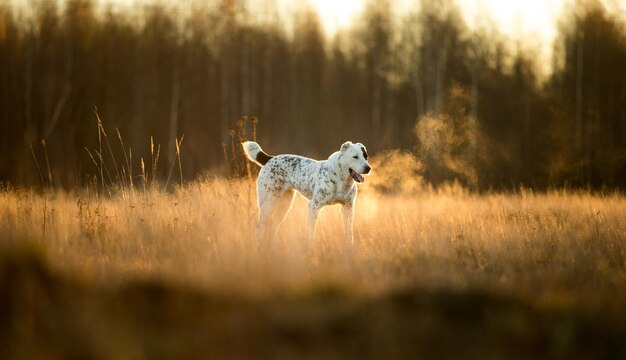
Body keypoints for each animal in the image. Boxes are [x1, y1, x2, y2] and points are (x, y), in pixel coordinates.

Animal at [241, 142, 370, 246]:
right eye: (355, 157)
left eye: (365, 156)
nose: (368, 168)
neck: (342, 181)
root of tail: (270, 158)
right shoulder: (313, 206)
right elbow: (310, 233)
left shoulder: (347, 208)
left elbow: (349, 234)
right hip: (268, 204)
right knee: (259, 228)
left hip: (284, 205)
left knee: (272, 228)